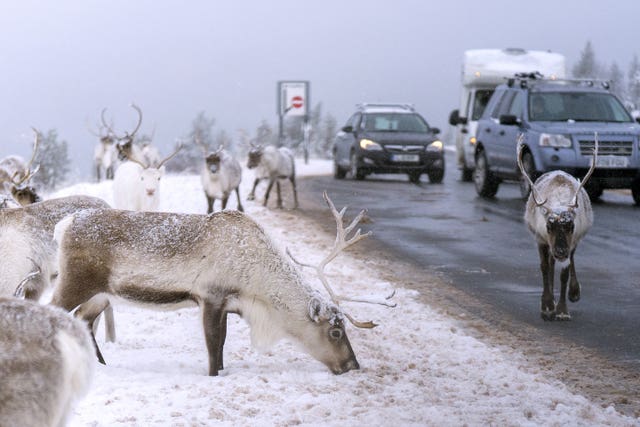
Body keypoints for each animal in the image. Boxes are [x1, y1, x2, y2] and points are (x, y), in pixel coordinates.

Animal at [50, 194, 393, 376]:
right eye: (335, 331)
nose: (353, 365)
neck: (257, 290)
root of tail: (63, 226)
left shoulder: (229, 304)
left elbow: (223, 343)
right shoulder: (211, 296)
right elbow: (213, 346)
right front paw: (215, 375)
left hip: (103, 294)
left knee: (83, 320)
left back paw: (100, 365)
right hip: (75, 282)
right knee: (54, 310)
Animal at [518, 134, 597, 321]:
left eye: (571, 226)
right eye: (548, 226)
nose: (561, 251)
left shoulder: (572, 241)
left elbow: (564, 274)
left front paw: (562, 310)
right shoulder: (540, 239)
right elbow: (545, 268)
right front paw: (547, 306)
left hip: (570, 245)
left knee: (567, 261)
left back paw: (574, 293)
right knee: (550, 263)